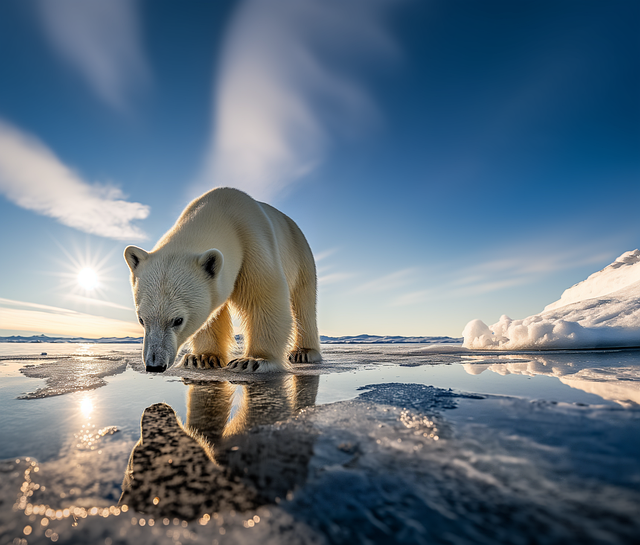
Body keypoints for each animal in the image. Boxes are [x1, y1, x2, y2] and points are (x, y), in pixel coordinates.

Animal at [123, 187, 321, 373]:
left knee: (303, 301)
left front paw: (252, 360)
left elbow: (264, 298)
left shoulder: (254, 244)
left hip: (300, 254)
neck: (221, 212)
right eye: (141, 319)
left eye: (178, 320)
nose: (154, 365)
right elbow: (212, 316)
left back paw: (304, 352)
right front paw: (201, 358)